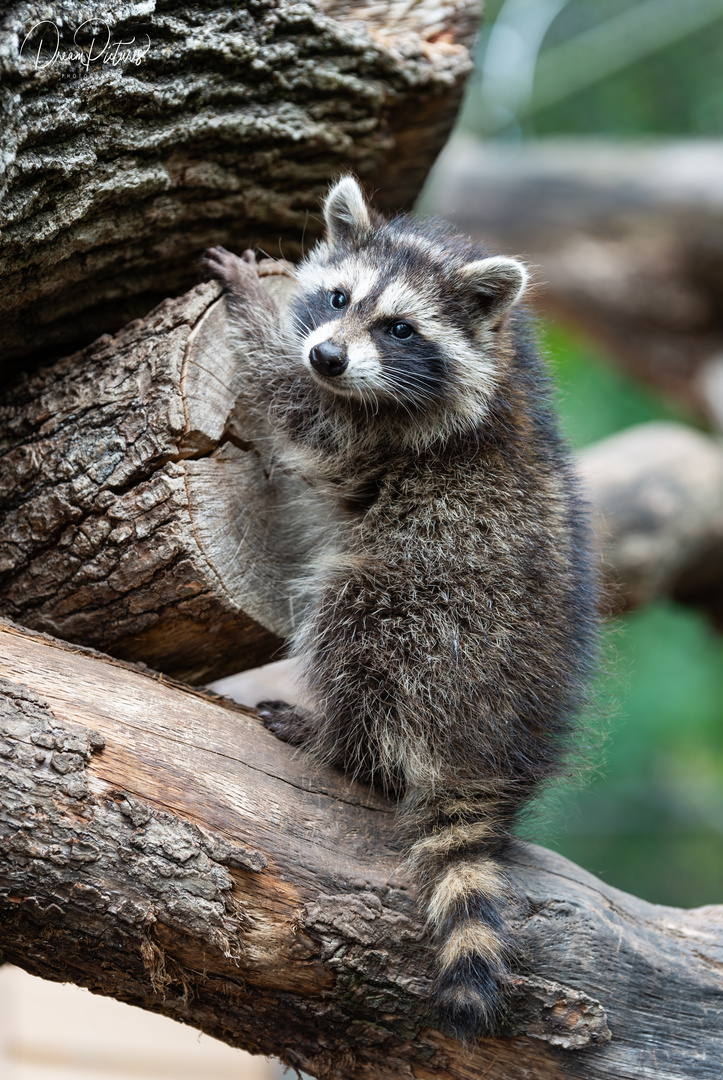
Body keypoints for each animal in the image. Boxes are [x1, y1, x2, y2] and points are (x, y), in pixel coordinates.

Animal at [199, 177, 596, 1036]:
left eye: (399, 329)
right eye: (337, 298)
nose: (326, 355)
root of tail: (486, 751)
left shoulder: (380, 435)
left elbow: (299, 410)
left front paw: (253, 309)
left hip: (436, 614)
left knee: (356, 623)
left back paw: (340, 740)